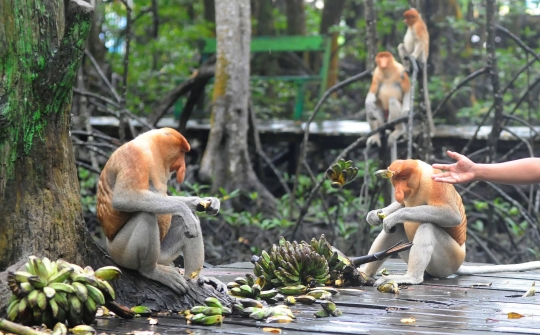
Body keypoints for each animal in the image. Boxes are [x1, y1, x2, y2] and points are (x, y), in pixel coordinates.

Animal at [96, 128, 225, 294]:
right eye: (182, 152)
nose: (183, 165)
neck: (151, 150)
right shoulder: (134, 155)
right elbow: (124, 198)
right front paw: (185, 209)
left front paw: (206, 202)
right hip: (120, 252)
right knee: (146, 216)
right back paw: (152, 271)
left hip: (163, 255)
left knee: (183, 223)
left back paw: (196, 279)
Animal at [358, 160, 540, 286]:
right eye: (395, 180)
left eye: (404, 178)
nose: (398, 192)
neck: (420, 178)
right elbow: (401, 205)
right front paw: (374, 215)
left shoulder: (436, 183)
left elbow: (451, 215)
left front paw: (393, 217)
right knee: (395, 230)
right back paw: (365, 273)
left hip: (449, 259)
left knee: (427, 226)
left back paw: (411, 278)